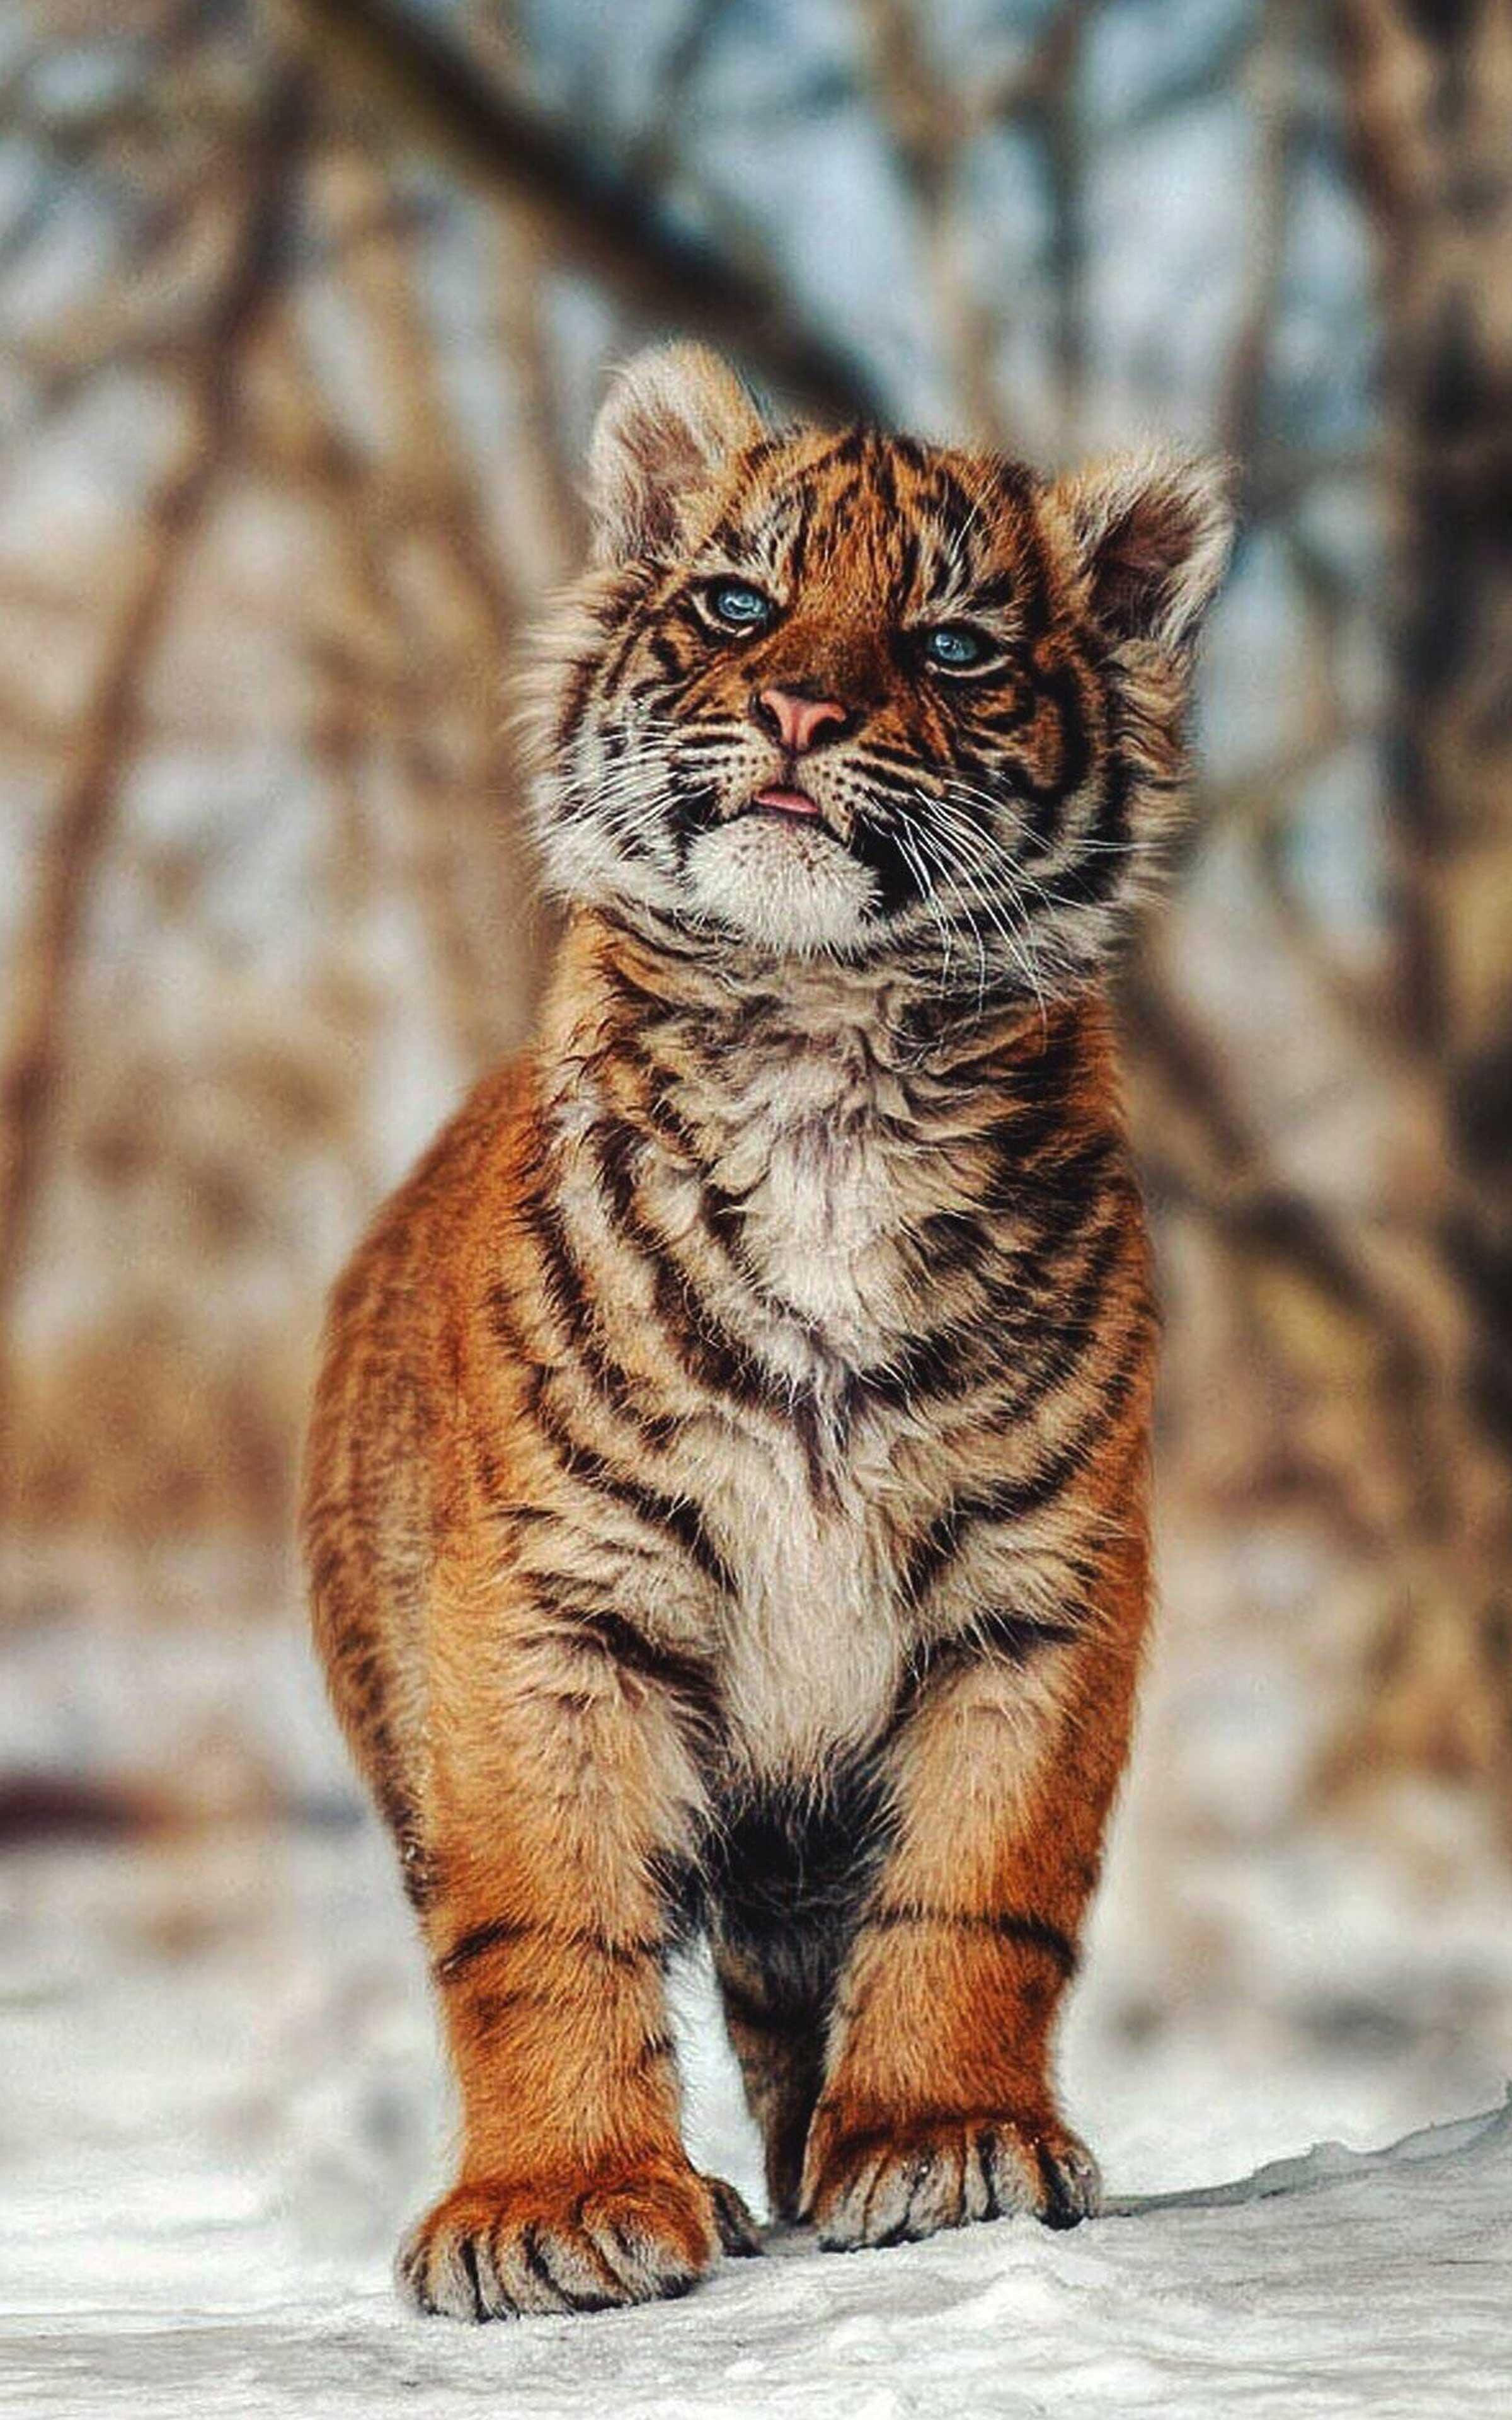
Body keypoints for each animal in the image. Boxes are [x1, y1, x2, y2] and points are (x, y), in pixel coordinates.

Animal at [302, 343, 1232, 2320]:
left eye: (951, 645)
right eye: (740, 605)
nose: (802, 707)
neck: (821, 1054)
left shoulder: (1039, 1586)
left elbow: (977, 1893)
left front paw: (945, 2142)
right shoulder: (548, 1600)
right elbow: (544, 1919)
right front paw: (556, 2207)